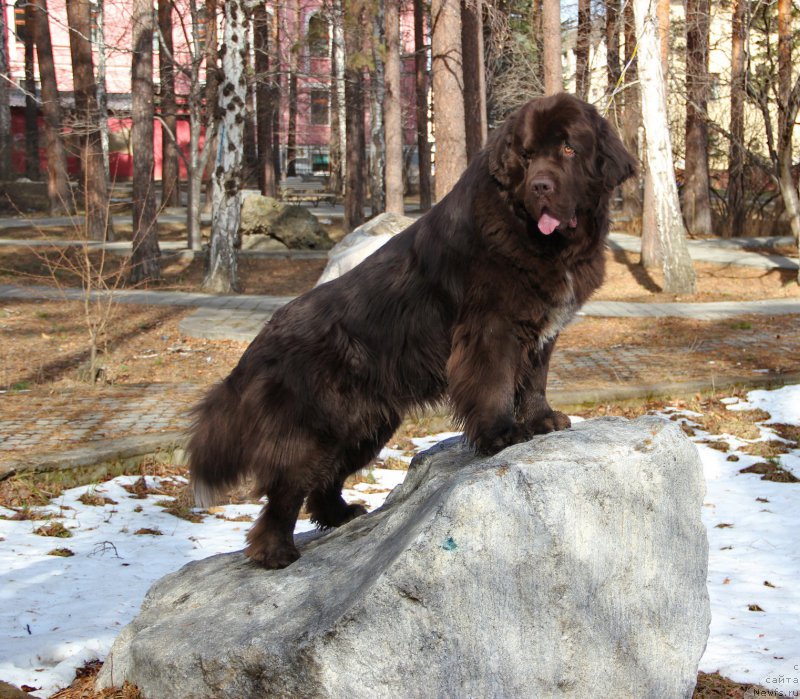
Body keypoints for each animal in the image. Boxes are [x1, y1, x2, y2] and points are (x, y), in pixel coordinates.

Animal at [189, 94, 636, 568]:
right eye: (528, 156)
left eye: (569, 149)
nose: (541, 187)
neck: (539, 238)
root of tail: (260, 341)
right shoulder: (490, 327)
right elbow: (495, 383)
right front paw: (502, 434)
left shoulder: (540, 331)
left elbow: (534, 379)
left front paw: (543, 419)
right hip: (316, 428)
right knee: (286, 489)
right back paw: (275, 551)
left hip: (365, 426)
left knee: (325, 479)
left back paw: (341, 515)